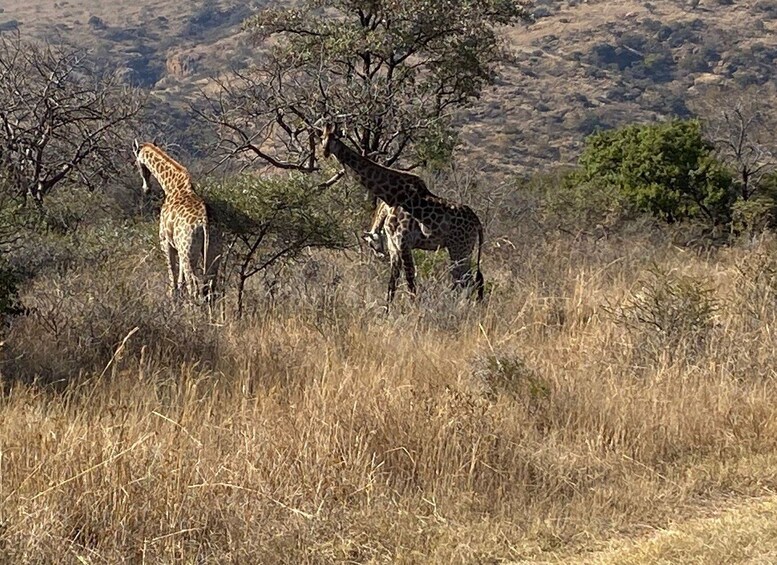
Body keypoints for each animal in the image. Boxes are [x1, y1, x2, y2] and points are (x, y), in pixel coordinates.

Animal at [133, 139, 218, 302]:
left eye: (137, 164)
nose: (146, 189)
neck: (172, 186)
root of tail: (204, 224)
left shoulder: (165, 242)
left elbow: (173, 278)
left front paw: (172, 300)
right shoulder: (177, 246)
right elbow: (180, 281)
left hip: (187, 253)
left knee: (194, 285)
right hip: (210, 252)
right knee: (209, 284)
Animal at [318, 123, 482, 304]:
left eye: (334, 138)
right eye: (322, 137)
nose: (325, 151)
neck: (391, 197)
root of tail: (478, 223)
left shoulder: (404, 243)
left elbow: (410, 284)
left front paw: (414, 309)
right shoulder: (394, 246)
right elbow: (392, 285)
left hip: (460, 249)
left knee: (468, 282)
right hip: (463, 249)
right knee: (471, 282)